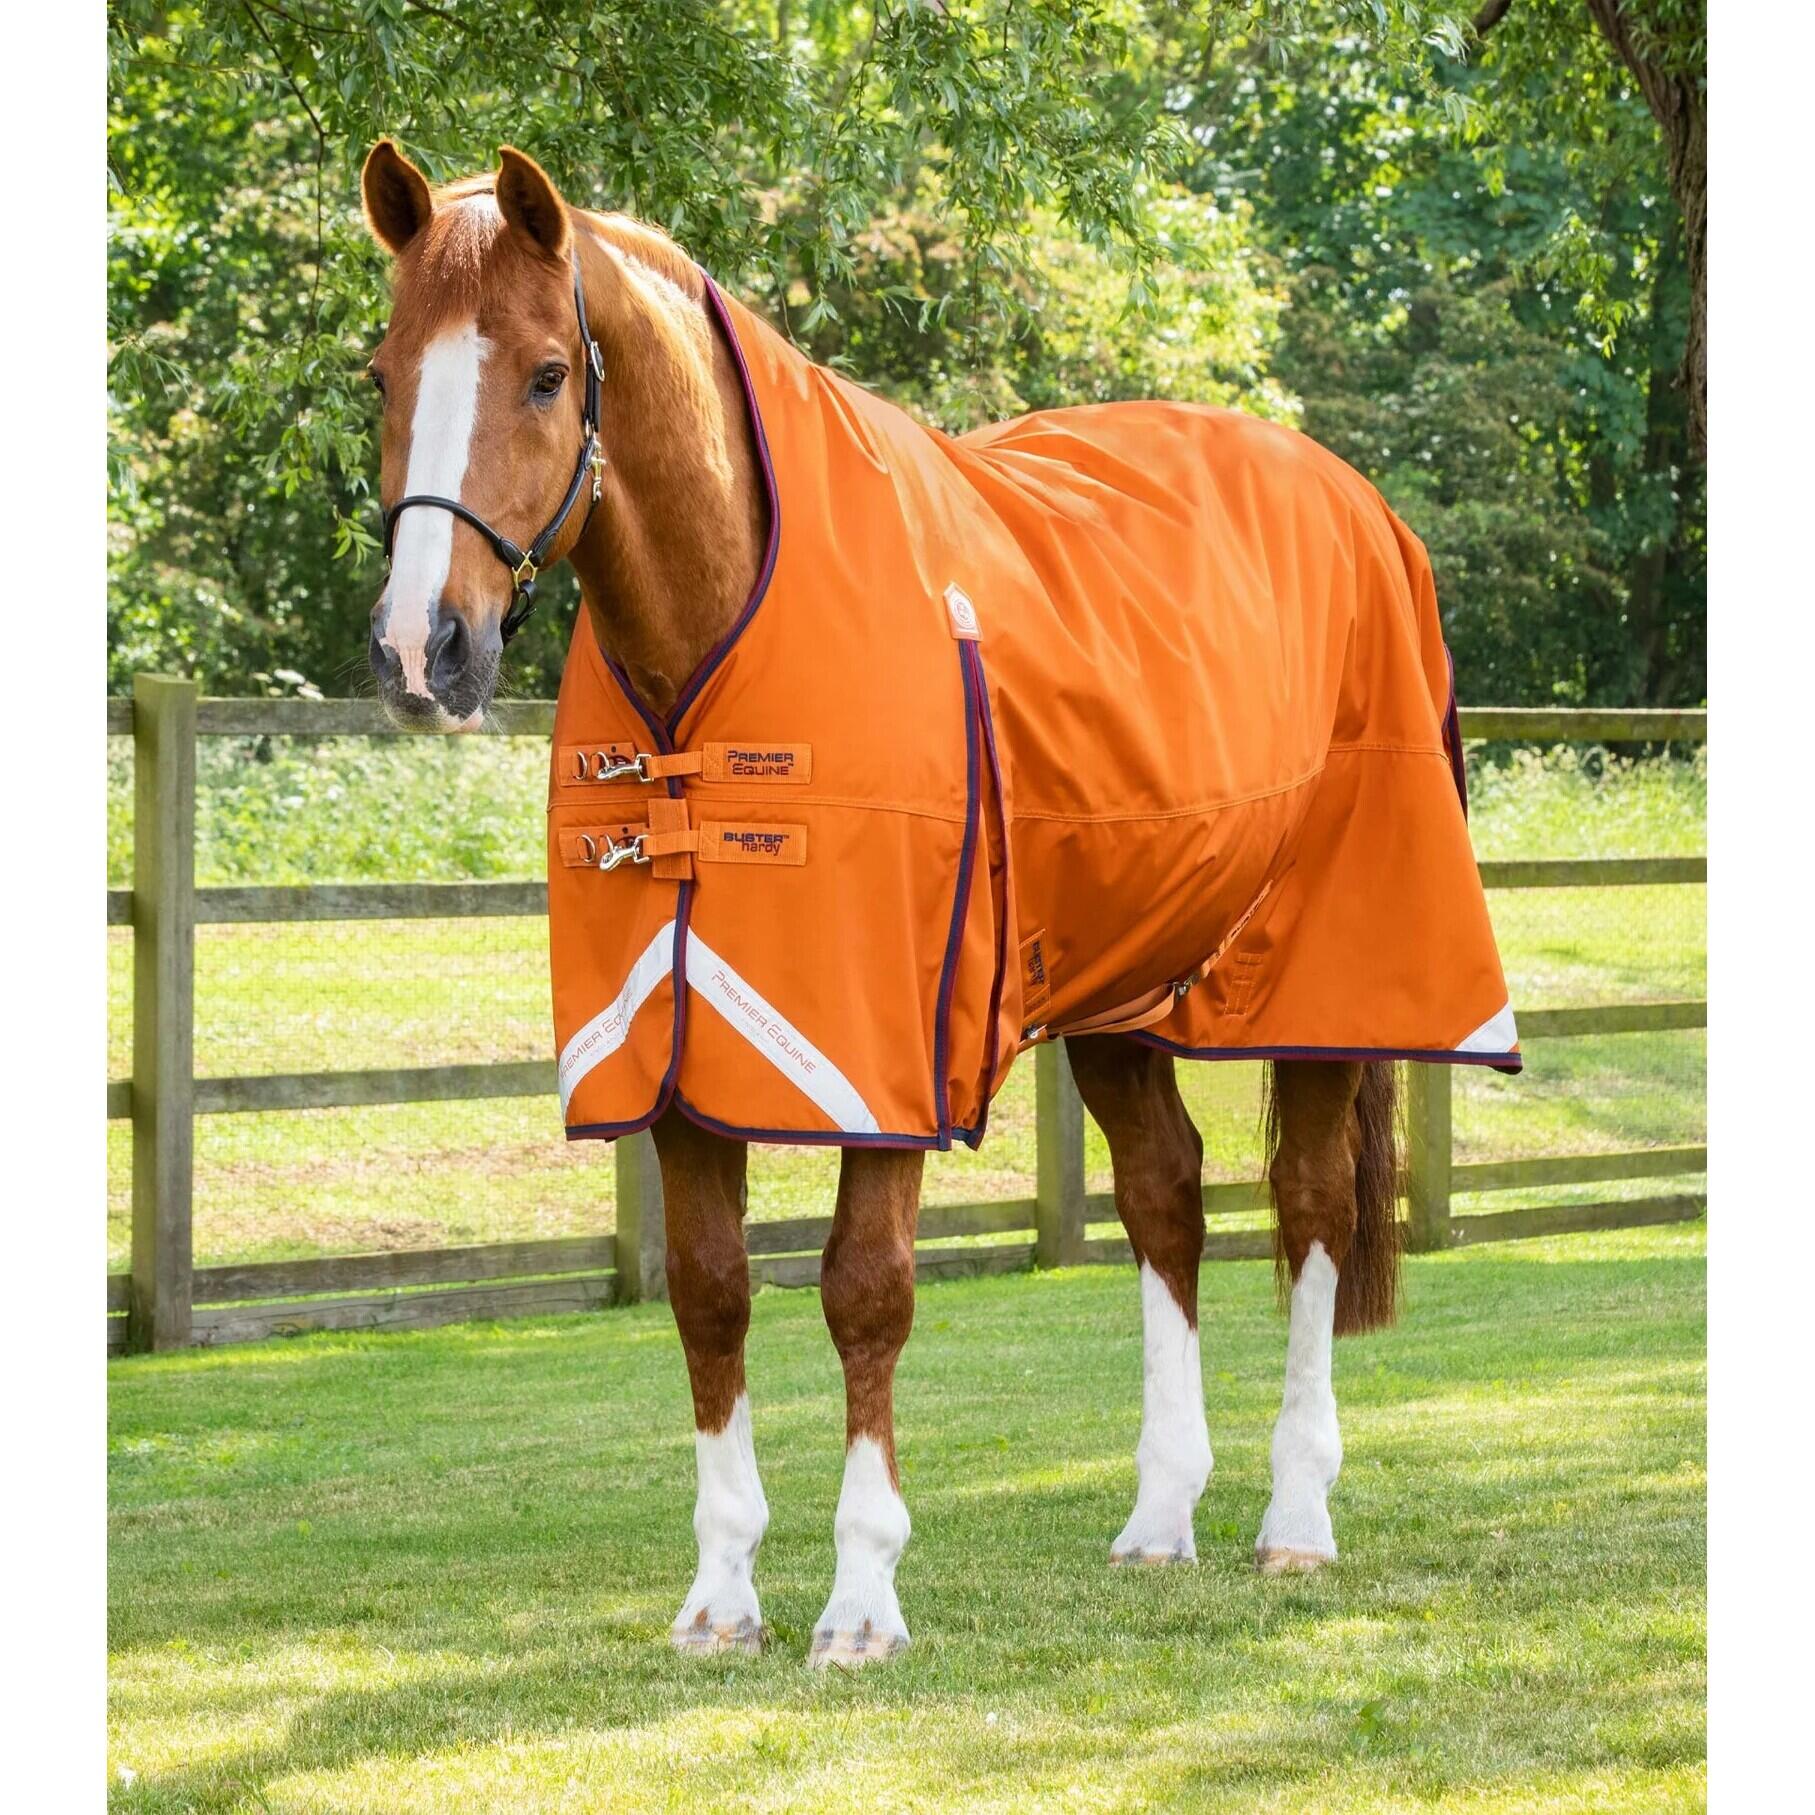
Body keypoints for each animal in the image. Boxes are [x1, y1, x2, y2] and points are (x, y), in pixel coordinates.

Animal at [359, 140, 1513, 1667]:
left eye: (548, 373)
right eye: (381, 371)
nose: (419, 649)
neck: (720, 634)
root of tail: (1359, 503)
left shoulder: (886, 1049)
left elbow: (864, 1289)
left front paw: (860, 1601)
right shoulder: (672, 1048)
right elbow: (710, 1292)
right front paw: (721, 1600)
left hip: (1321, 976)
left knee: (1310, 1206)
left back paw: (1294, 1520)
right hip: (1119, 990)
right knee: (1167, 1199)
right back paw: (1160, 1518)